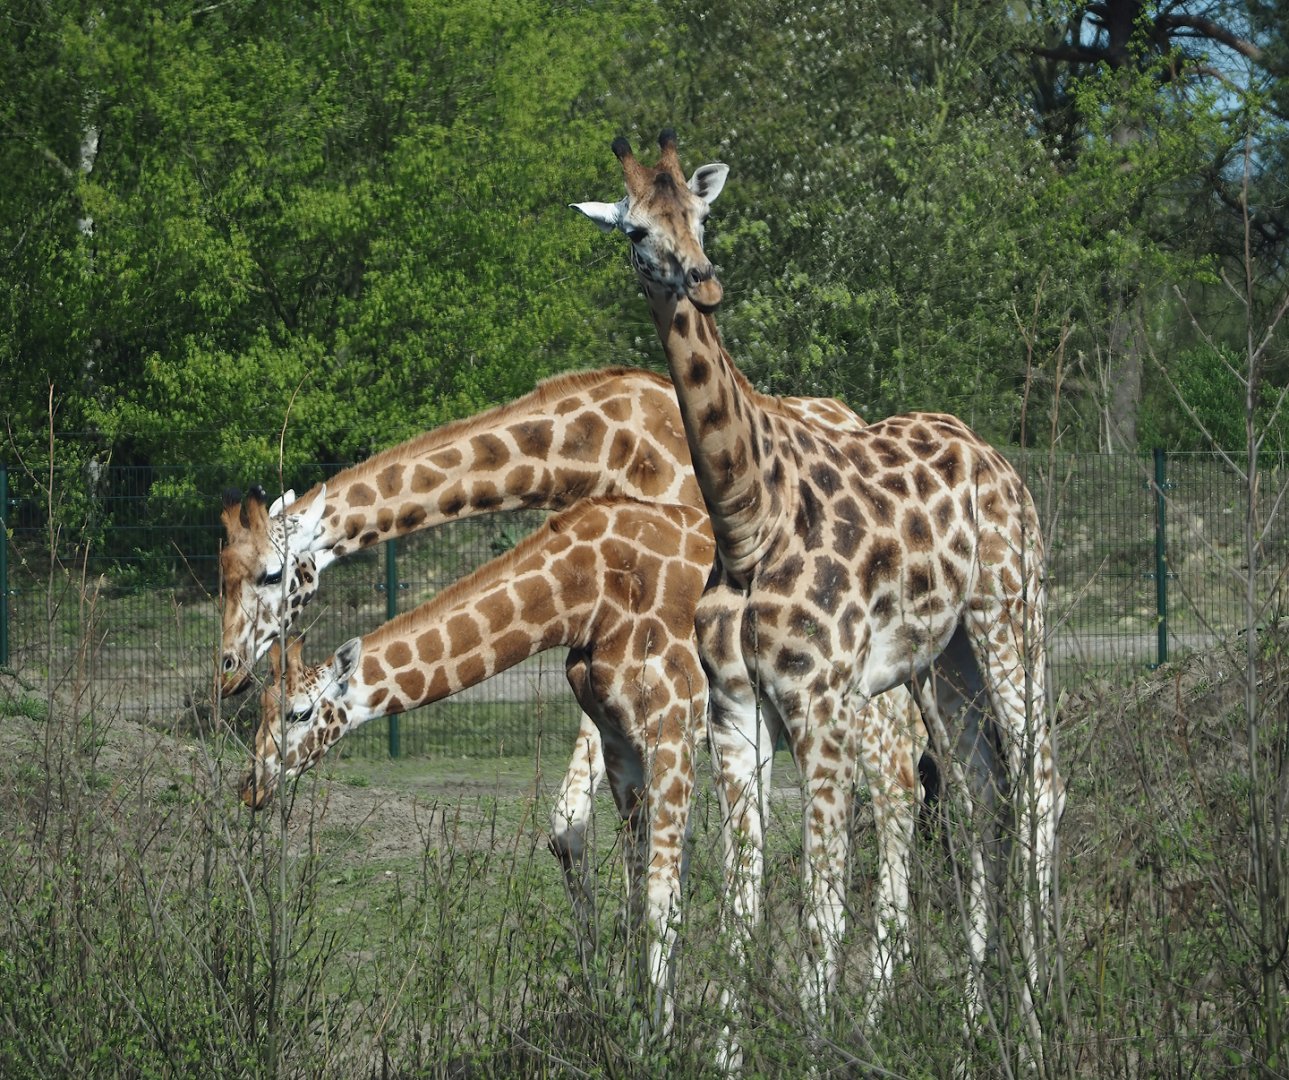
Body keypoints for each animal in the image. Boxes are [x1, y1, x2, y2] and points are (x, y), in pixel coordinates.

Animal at [573, 130, 1064, 1059]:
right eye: (636, 232)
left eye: (699, 215)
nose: (702, 279)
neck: (746, 522)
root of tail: (999, 462)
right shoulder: (735, 713)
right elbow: (742, 906)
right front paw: (730, 1057)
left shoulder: (819, 701)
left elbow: (822, 908)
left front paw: (819, 1045)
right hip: (942, 660)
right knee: (979, 792)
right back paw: (974, 1030)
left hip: (1010, 614)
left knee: (1041, 778)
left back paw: (1035, 1022)